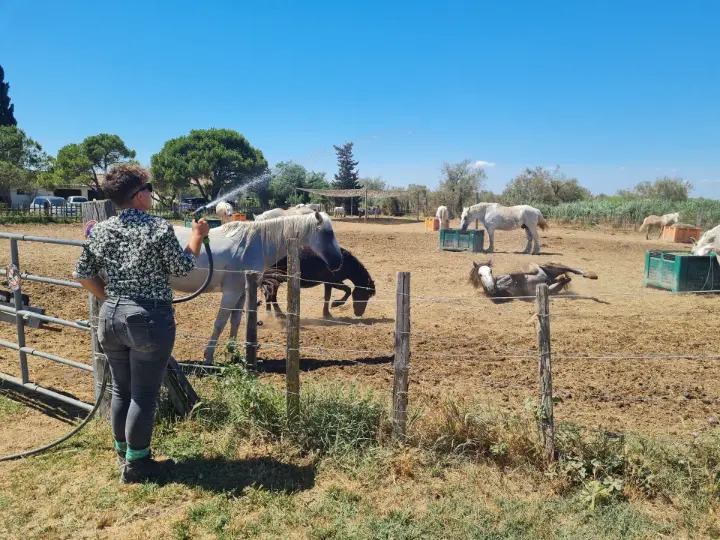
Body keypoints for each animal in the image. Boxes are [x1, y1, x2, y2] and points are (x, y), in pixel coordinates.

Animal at [170, 211, 343, 365]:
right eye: (328, 233)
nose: (338, 262)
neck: (253, 245)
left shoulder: (241, 293)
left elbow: (235, 321)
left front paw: (233, 353)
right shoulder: (231, 293)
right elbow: (220, 323)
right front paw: (208, 357)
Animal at [469, 260, 598, 303]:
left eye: (491, 271)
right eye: (480, 274)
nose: (491, 287)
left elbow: (519, 272)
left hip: (551, 266)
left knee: (571, 269)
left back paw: (590, 275)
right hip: (551, 286)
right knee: (564, 279)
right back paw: (563, 279)